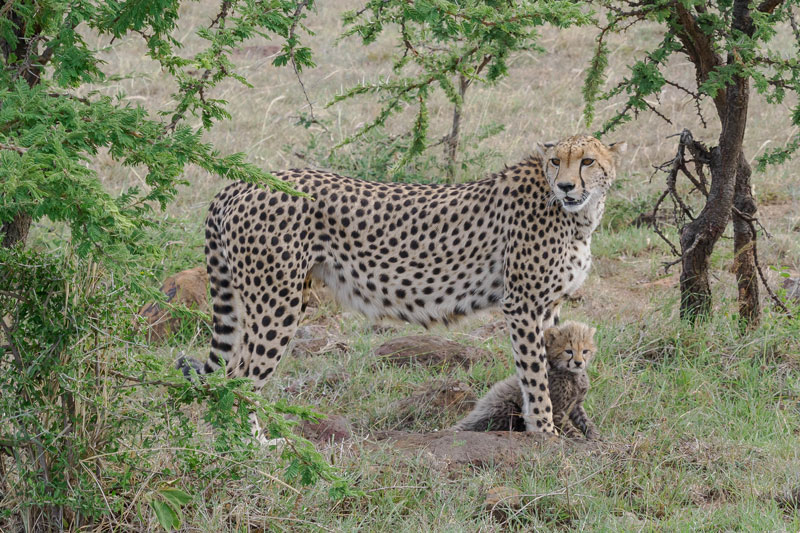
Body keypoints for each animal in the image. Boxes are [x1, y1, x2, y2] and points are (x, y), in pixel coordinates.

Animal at [452, 320, 600, 440]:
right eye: (568, 351)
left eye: (585, 351)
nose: (578, 363)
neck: (571, 374)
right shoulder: (556, 408)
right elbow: (567, 425)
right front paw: (577, 437)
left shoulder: (576, 405)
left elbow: (585, 420)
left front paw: (595, 435)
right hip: (507, 408)